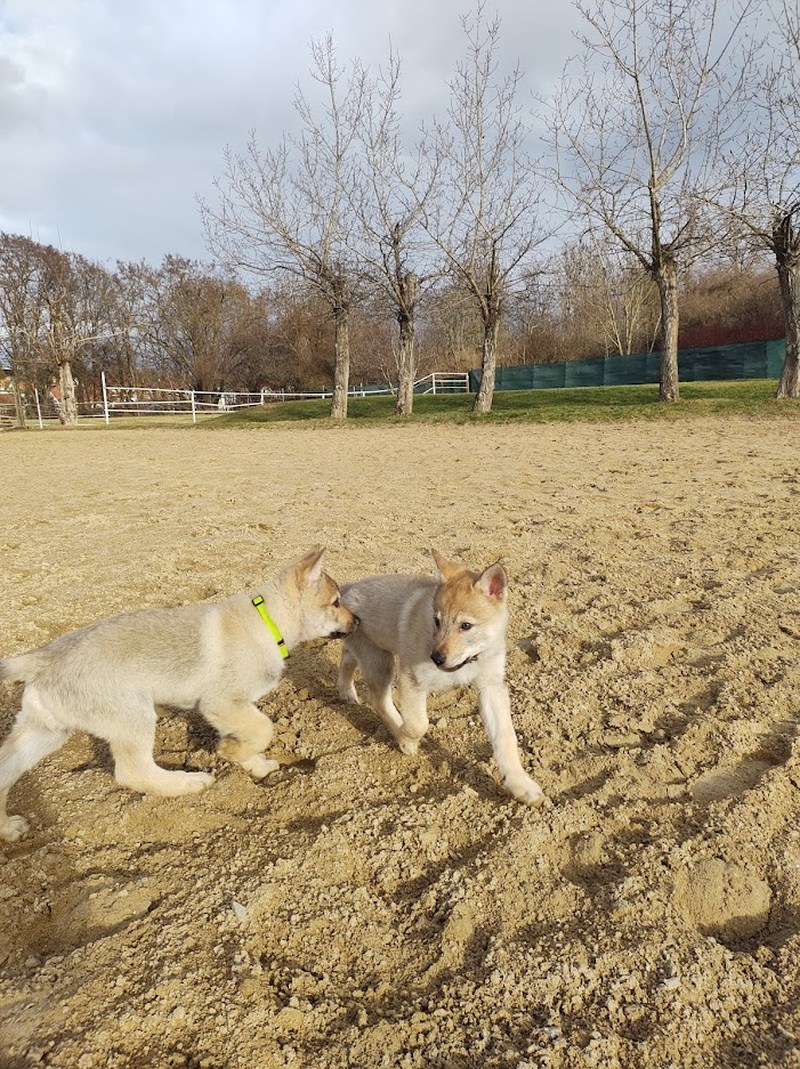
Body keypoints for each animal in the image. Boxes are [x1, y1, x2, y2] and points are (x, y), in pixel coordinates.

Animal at [0, 547, 357, 838]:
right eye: (336, 602)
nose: (358, 621)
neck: (267, 622)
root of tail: (44, 657)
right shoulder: (221, 703)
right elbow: (263, 728)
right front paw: (231, 752)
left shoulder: (229, 711)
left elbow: (253, 736)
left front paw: (252, 763)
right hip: (134, 716)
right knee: (134, 772)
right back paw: (189, 783)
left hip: (45, 732)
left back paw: (7, 829)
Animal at [337, 551, 543, 803]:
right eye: (436, 621)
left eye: (466, 625)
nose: (435, 658)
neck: (465, 663)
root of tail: (347, 588)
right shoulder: (411, 680)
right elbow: (418, 724)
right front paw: (406, 740)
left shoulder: (492, 687)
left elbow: (505, 738)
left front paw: (520, 784)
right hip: (381, 662)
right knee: (379, 700)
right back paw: (397, 731)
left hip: (368, 652)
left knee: (347, 658)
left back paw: (346, 691)